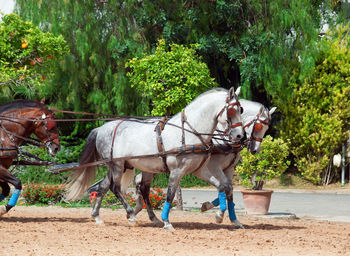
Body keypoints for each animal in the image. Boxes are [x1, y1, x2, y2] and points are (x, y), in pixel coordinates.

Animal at [67, 87, 245, 231]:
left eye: (241, 109)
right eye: (231, 110)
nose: (240, 136)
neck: (189, 132)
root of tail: (102, 128)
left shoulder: (198, 170)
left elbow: (221, 186)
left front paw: (219, 216)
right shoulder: (176, 171)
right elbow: (170, 195)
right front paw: (167, 222)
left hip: (121, 166)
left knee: (106, 187)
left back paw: (98, 217)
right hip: (117, 165)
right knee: (115, 188)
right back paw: (132, 216)